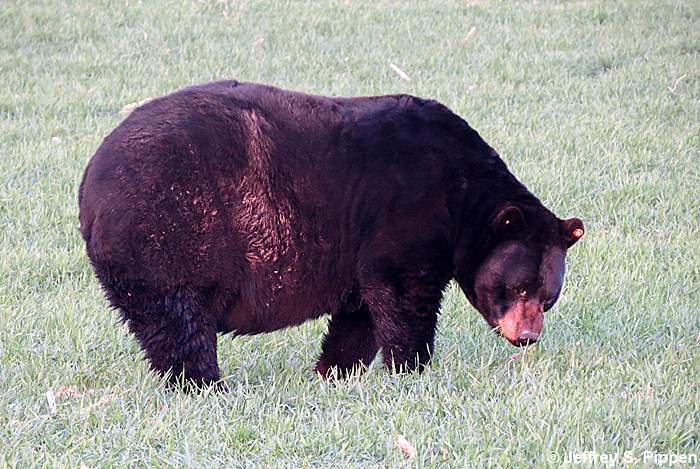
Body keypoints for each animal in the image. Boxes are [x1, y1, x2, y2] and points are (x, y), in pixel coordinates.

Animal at [78, 80, 584, 387]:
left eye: (548, 297)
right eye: (517, 288)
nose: (527, 337)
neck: (463, 193)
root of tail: (89, 187)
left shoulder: (359, 248)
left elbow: (360, 310)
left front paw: (334, 371)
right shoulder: (407, 210)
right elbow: (404, 292)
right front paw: (411, 368)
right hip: (169, 231)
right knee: (178, 319)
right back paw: (206, 384)